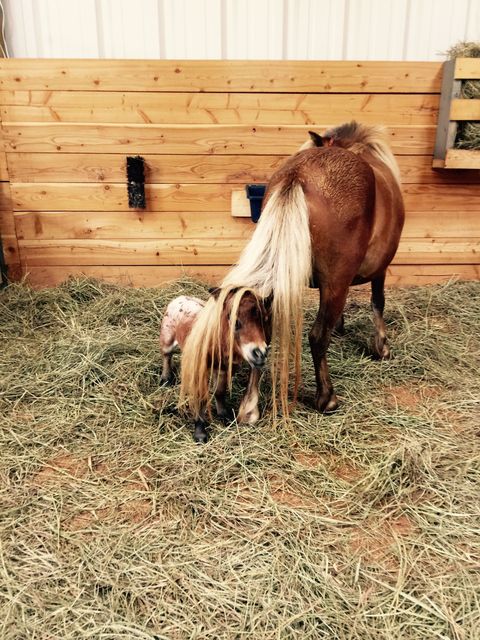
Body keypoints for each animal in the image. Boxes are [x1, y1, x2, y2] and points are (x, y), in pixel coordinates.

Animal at [162, 288, 270, 440]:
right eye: (233, 319)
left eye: (264, 319)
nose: (260, 353)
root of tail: (180, 297)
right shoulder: (198, 371)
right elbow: (201, 397)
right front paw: (200, 432)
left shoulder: (222, 369)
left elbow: (219, 391)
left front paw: (224, 415)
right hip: (167, 337)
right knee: (166, 355)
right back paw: (165, 379)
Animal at [182, 120, 404, 420]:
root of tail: (300, 176)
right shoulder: (377, 270)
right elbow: (378, 302)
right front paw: (381, 346)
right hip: (335, 281)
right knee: (317, 336)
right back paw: (327, 398)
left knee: (263, 333)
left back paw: (249, 407)